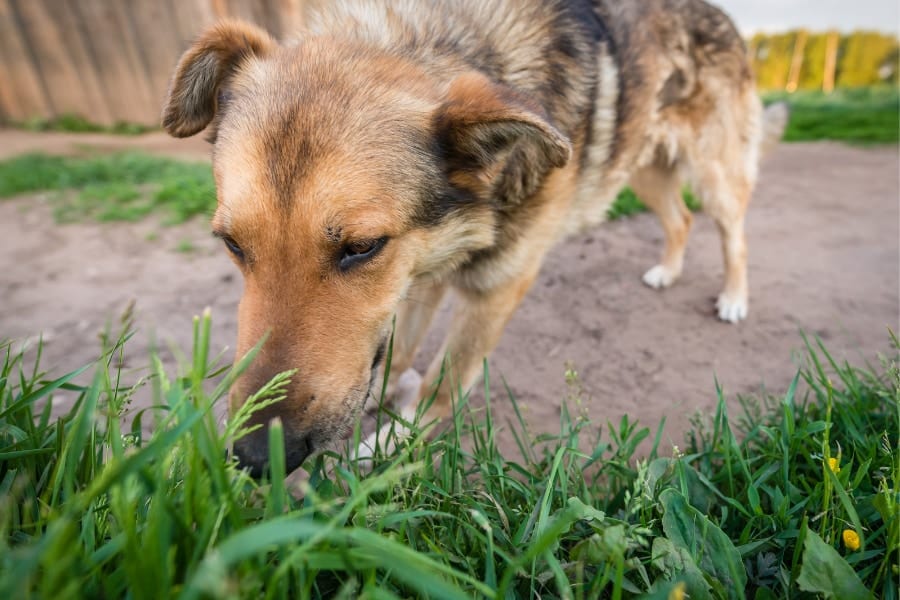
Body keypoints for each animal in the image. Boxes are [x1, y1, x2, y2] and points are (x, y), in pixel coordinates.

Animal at [163, 0, 788, 478]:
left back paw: (734, 297)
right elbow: (401, 345)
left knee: (734, 233)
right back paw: (669, 269)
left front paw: (391, 443)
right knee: (680, 219)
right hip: (643, 170)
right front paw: (385, 392)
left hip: (713, 173)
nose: (253, 458)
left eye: (361, 247)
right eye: (232, 244)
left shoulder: (496, 285)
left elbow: (443, 380)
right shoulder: (422, 269)